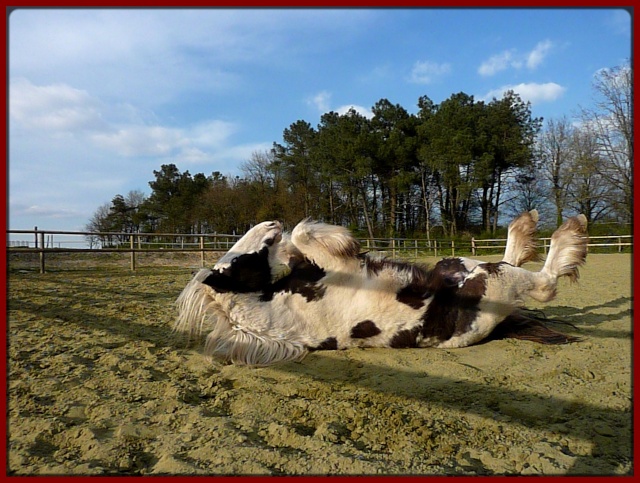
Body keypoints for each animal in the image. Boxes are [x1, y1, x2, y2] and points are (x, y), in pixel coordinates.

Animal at [172, 212, 588, 366]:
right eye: (235, 262)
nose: (271, 222)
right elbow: (304, 233)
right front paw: (343, 240)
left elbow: (298, 241)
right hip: (493, 279)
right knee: (542, 282)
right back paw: (570, 229)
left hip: (456, 264)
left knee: (511, 256)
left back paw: (525, 225)